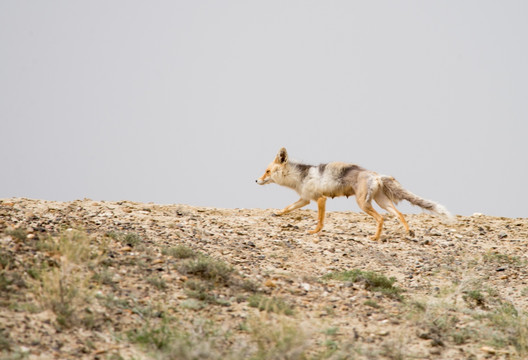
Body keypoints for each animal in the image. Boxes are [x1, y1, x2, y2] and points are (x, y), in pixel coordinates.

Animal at [254, 148, 452, 240]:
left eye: (267, 171)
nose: (256, 181)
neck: (301, 177)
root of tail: (376, 174)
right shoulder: (305, 199)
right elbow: (288, 208)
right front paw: (278, 213)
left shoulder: (320, 199)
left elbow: (320, 221)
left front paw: (314, 231)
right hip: (381, 202)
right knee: (400, 214)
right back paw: (408, 231)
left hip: (363, 204)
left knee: (381, 218)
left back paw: (375, 238)